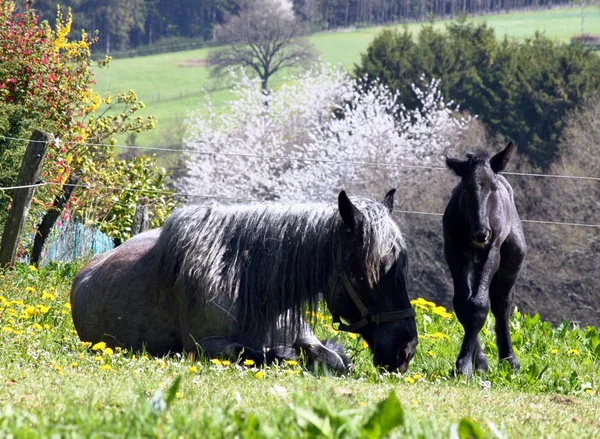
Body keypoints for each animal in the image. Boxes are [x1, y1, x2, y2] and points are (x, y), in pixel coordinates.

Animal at [70, 191, 418, 372]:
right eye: (365, 273)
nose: (406, 349)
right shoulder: (206, 346)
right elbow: (272, 355)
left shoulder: (307, 338)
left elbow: (333, 360)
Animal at [442, 143, 528, 376]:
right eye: (465, 188)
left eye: (493, 187)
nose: (482, 233)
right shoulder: (453, 250)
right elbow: (463, 304)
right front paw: (474, 363)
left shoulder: (492, 251)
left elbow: (479, 304)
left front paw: (464, 365)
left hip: (512, 259)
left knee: (502, 303)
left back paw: (510, 360)